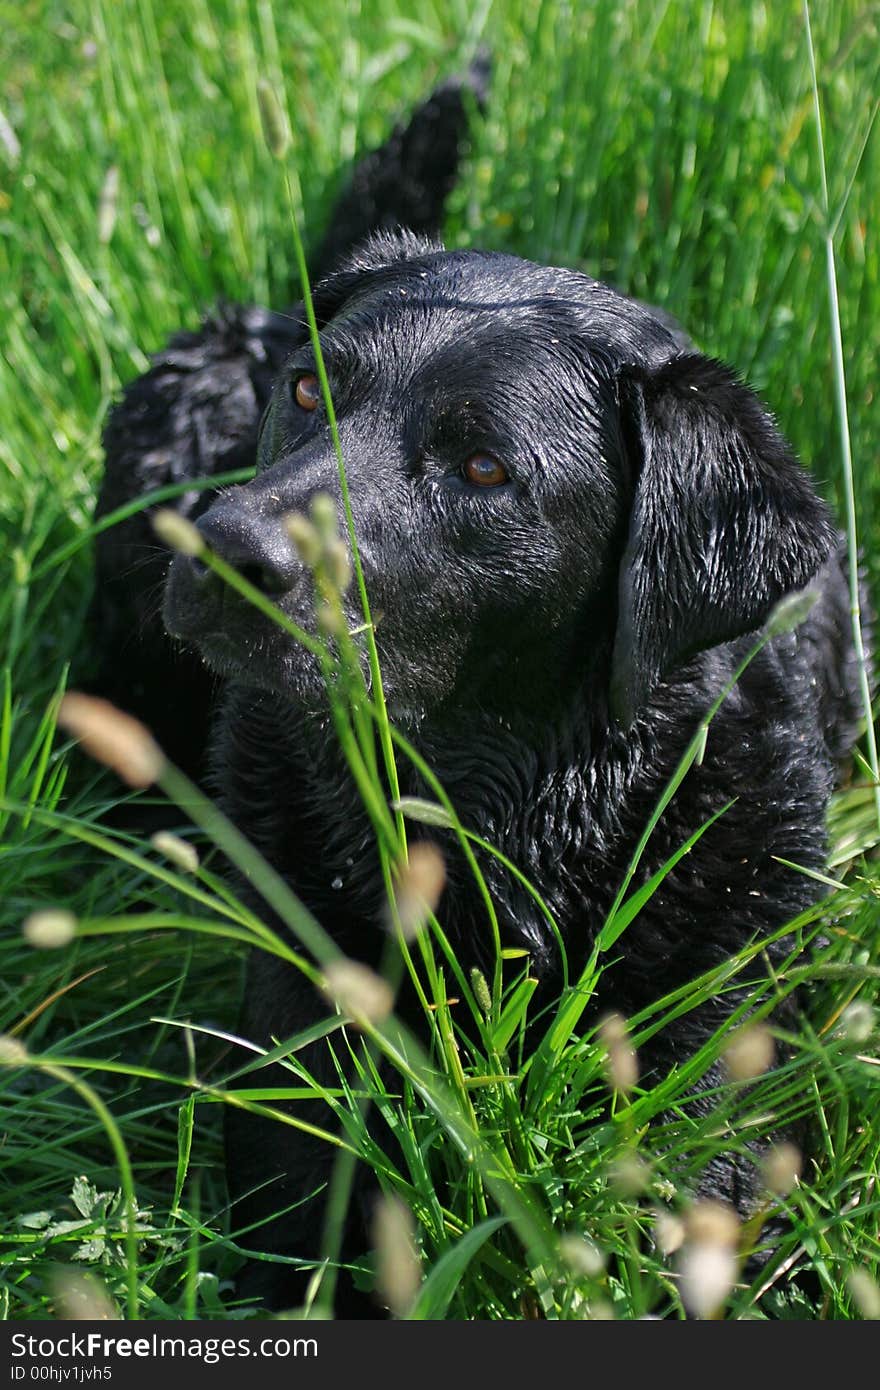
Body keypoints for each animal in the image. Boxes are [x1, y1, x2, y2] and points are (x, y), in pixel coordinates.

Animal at [88, 67, 856, 1312]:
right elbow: (302, 1218)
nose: (226, 548)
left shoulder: (724, 1021)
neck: (502, 816)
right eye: (307, 390)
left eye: (483, 467)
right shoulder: (301, 1012)